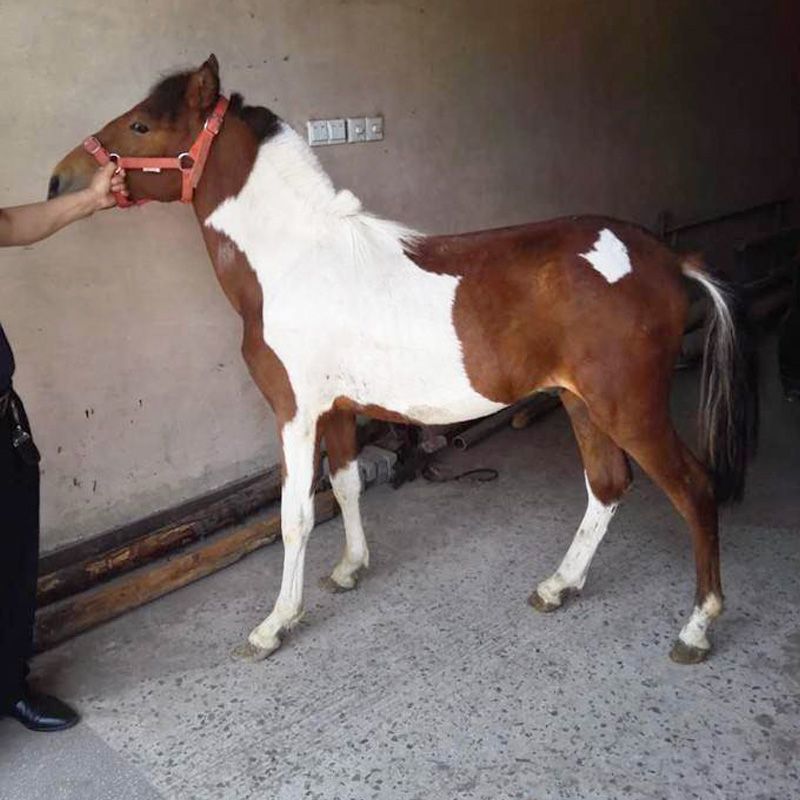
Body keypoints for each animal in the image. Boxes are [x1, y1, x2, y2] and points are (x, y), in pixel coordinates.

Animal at [49, 55, 757, 665]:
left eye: (141, 126)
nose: (60, 180)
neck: (295, 260)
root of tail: (669, 259)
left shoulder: (294, 414)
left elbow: (295, 515)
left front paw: (275, 624)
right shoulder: (337, 410)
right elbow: (346, 486)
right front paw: (349, 569)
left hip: (629, 407)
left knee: (695, 490)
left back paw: (696, 628)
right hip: (582, 403)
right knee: (607, 486)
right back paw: (559, 586)